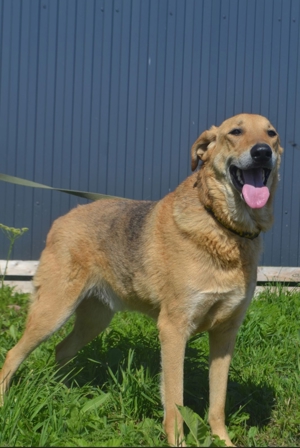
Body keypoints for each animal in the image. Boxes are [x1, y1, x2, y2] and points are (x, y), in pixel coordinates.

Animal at [0, 113, 282, 444]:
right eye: (236, 131)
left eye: (271, 133)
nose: (263, 151)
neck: (223, 226)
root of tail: (63, 219)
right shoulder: (173, 329)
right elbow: (175, 401)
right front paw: (177, 442)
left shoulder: (225, 334)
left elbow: (218, 403)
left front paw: (222, 441)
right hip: (52, 312)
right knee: (12, 354)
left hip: (94, 320)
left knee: (61, 350)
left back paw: (62, 393)